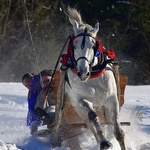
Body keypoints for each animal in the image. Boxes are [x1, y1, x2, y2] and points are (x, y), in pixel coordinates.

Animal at [59, 7, 126, 150]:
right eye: (74, 45)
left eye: (93, 45)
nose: (83, 72)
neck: (93, 77)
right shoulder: (81, 99)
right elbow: (93, 117)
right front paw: (105, 142)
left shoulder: (112, 98)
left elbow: (118, 132)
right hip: (78, 108)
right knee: (90, 124)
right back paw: (101, 141)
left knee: (109, 121)